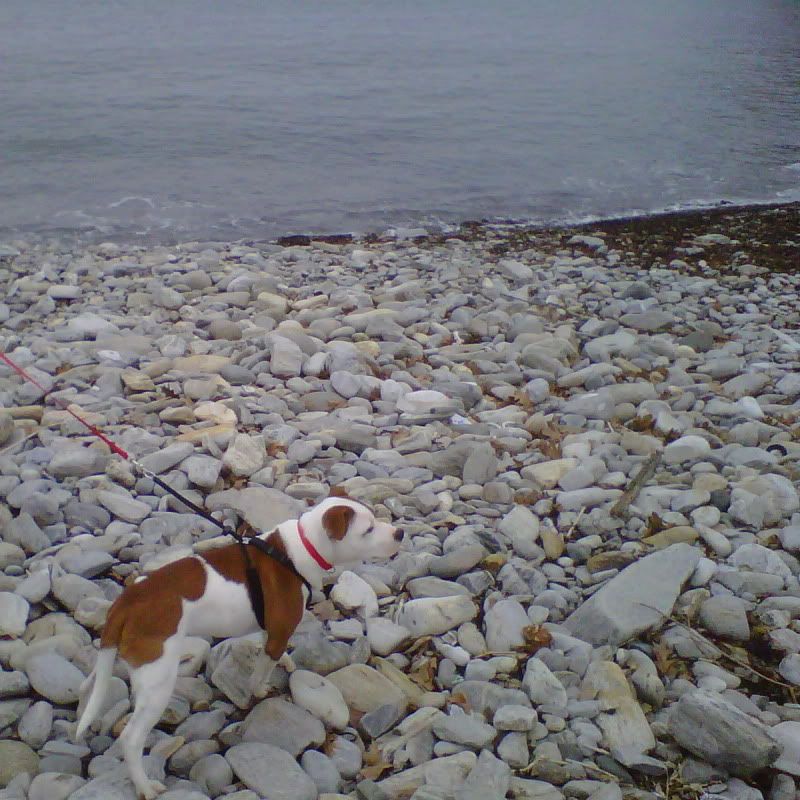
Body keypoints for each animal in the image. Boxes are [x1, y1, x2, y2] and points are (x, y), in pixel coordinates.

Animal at [75, 494, 404, 800]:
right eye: (368, 529)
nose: (400, 533)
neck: (298, 551)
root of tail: (127, 601)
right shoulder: (278, 633)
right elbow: (262, 670)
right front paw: (259, 689)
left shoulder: (270, 629)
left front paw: (284, 662)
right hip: (157, 682)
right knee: (131, 739)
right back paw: (145, 786)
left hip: (119, 658)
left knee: (90, 686)